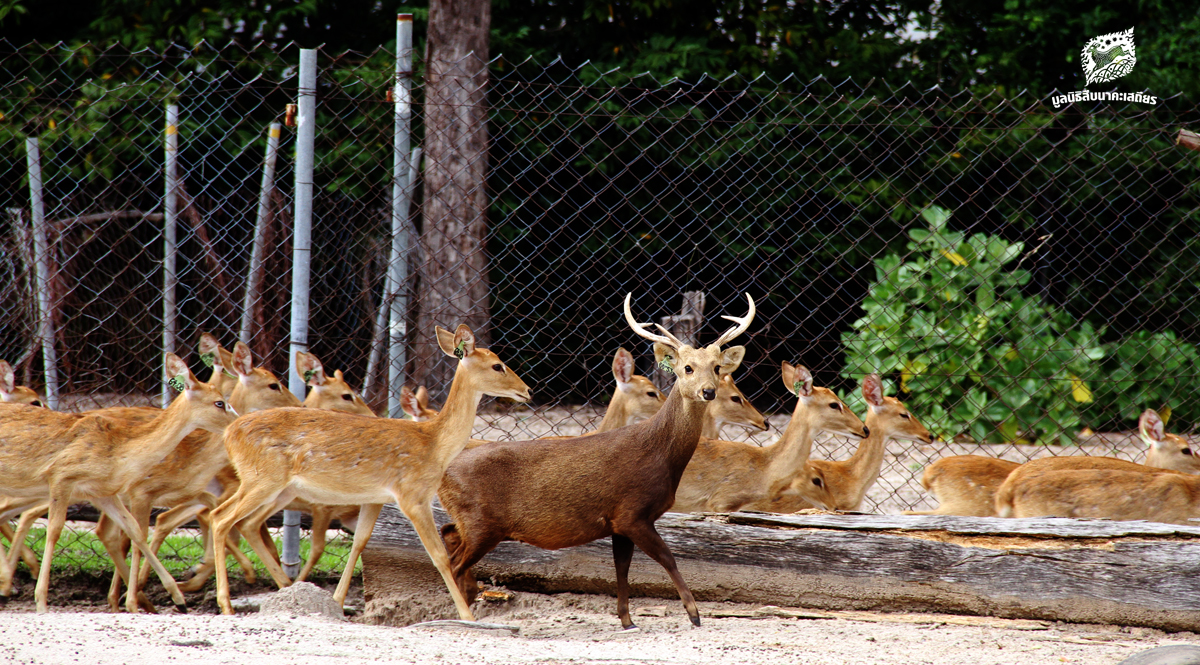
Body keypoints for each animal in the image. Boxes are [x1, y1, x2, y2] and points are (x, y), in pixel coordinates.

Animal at [0, 355, 235, 607]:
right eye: (219, 403)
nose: (239, 420)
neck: (118, 453)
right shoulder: (62, 476)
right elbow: (54, 530)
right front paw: (41, 601)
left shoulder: (102, 492)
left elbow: (135, 531)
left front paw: (177, 598)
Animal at [208, 321, 532, 614]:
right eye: (498, 366)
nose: (527, 390)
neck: (435, 445)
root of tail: (229, 433)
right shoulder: (413, 495)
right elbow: (440, 556)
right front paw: (467, 615)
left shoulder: (375, 498)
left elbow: (360, 543)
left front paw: (338, 603)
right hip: (262, 478)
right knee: (221, 518)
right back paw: (226, 604)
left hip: (278, 487)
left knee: (237, 520)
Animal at [441, 291, 753, 624]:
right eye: (687, 368)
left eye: (717, 367)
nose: (708, 391)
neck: (661, 455)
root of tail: (443, 475)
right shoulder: (632, 512)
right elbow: (668, 558)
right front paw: (694, 614)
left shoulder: (617, 521)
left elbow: (622, 569)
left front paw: (627, 621)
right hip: (481, 521)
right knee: (454, 564)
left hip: (471, 521)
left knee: (448, 536)